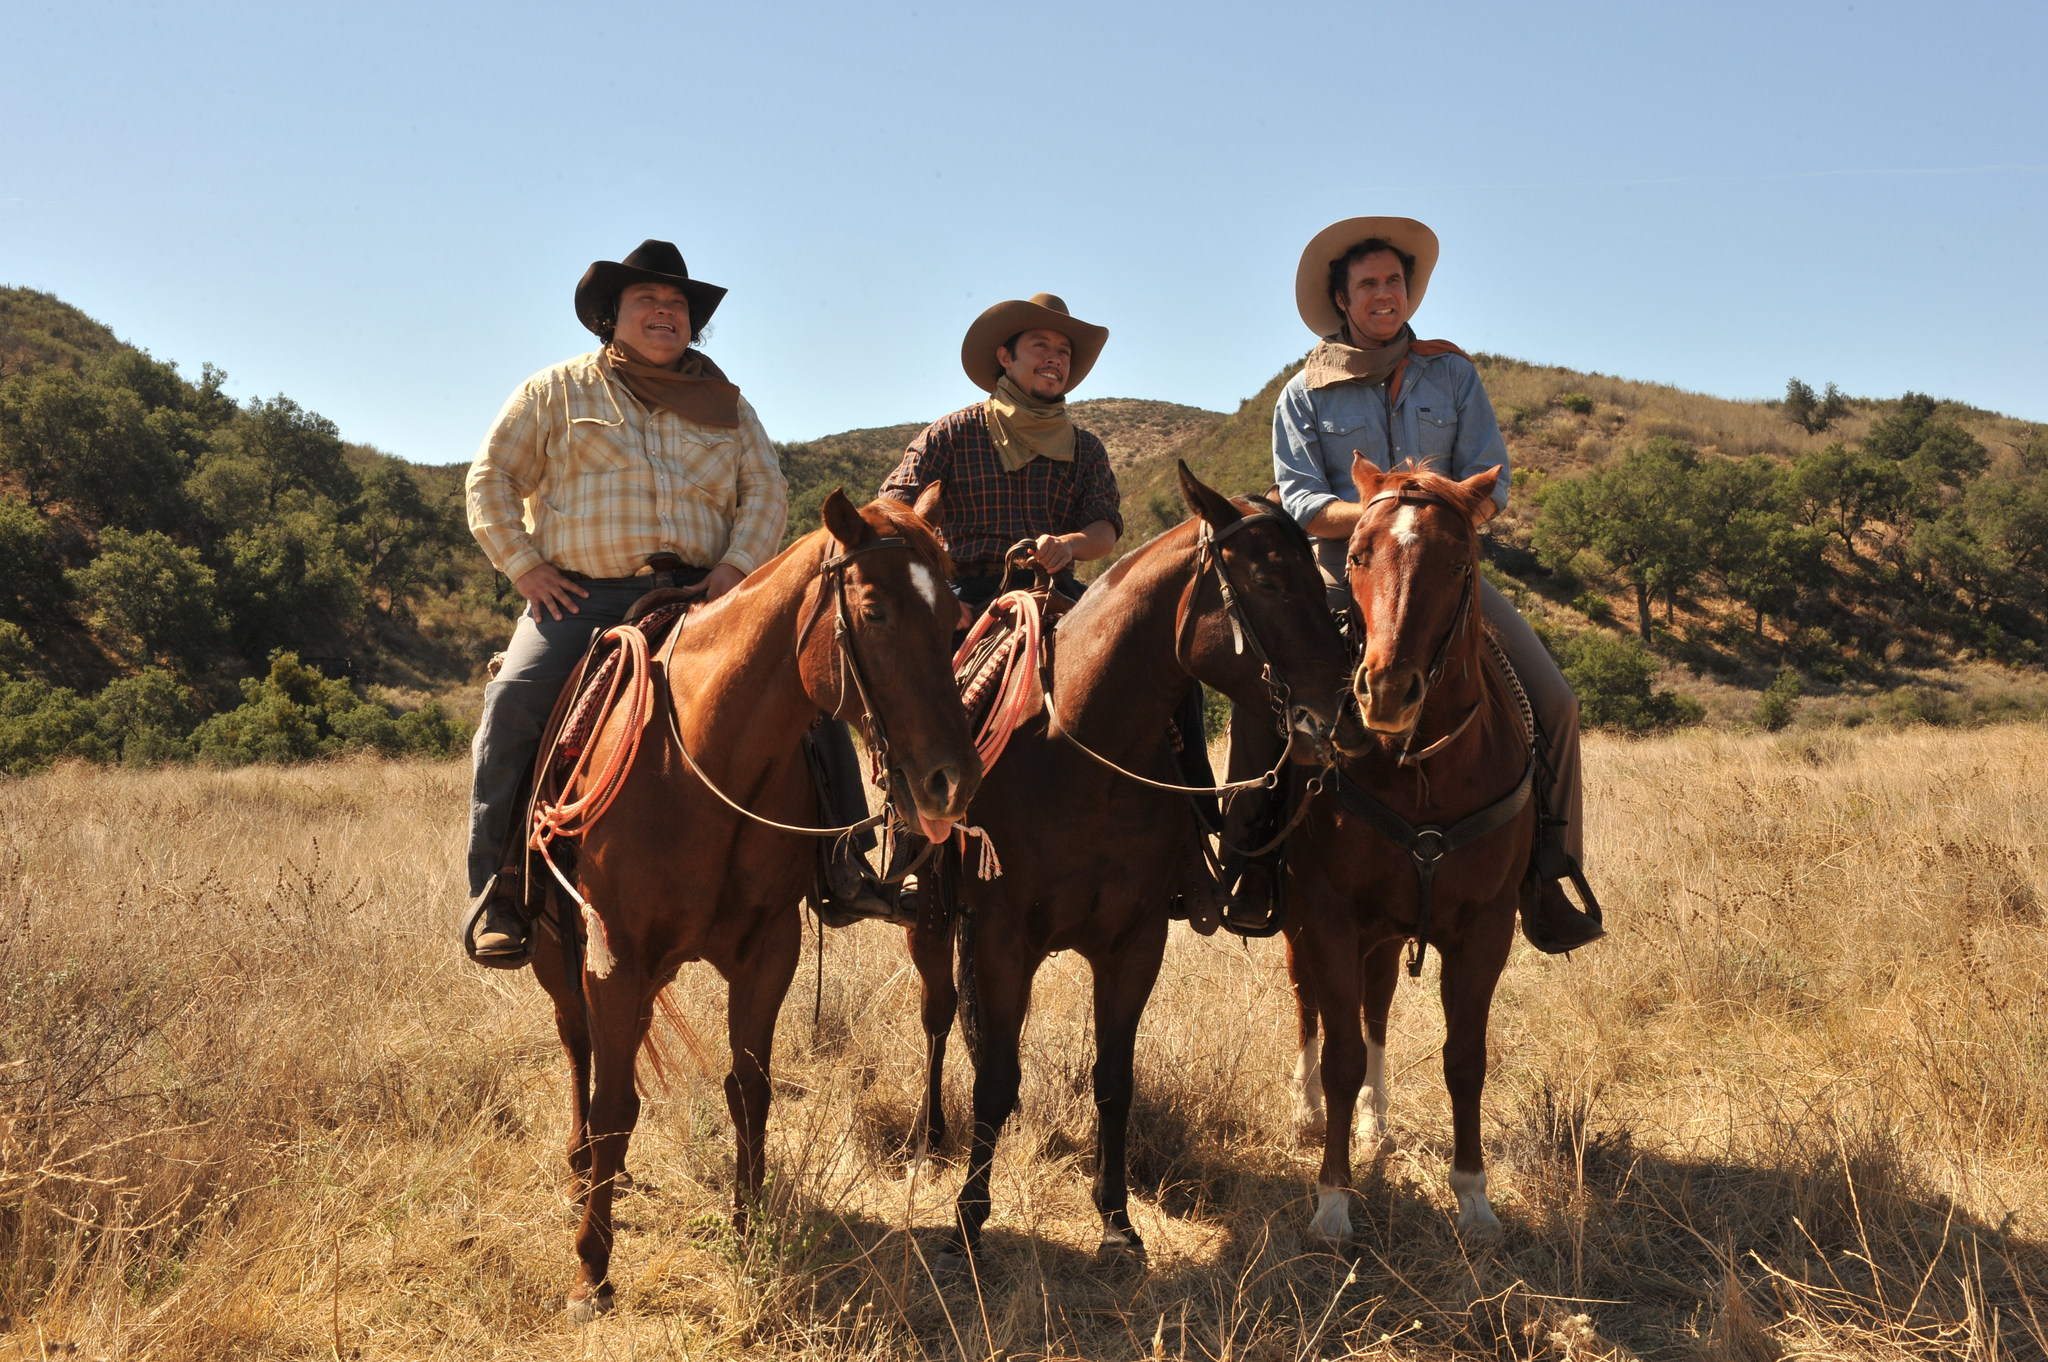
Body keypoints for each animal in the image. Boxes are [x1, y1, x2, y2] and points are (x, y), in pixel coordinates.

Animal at [528, 489, 974, 1318]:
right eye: (874, 611)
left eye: (955, 619)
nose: (952, 782)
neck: (704, 760)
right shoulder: (614, 954)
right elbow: (611, 1106)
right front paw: (590, 1271)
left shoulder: (768, 950)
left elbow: (750, 1089)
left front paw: (750, 1226)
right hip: (556, 951)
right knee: (579, 1048)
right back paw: (581, 1172)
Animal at [909, 462, 1359, 1261]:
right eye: (1270, 581)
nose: (1336, 712)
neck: (1086, 754)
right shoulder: (1000, 937)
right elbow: (994, 1076)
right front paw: (969, 1217)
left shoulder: (1134, 942)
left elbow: (1113, 1080)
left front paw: (1117, 1221)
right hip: (931, 920)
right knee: (937, 1016)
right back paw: (932, 1139)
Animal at [1286, 458, 1531, 1245]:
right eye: (1358, 556)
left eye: (1458, 564)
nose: (1386, 692)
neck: (1420, 766)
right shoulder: (1327, 919)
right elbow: (1337, 1055)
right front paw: (1332, 1201)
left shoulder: (1486, 929)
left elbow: (1465, 1059)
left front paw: (1475, 1199)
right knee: (1311, 1008)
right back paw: (1309, 1113)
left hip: (1389, 936)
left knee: (1377, 1011)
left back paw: (1376, 1119)